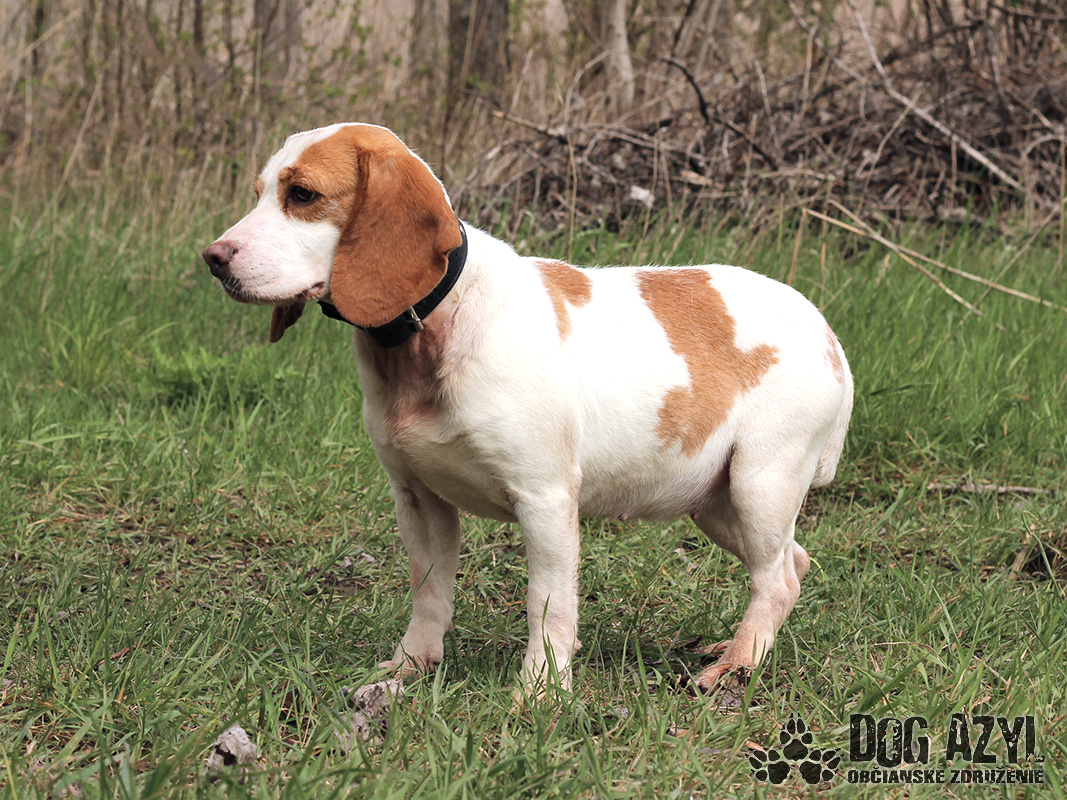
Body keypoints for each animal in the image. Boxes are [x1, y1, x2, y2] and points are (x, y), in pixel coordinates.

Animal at [203, 123, 853, 697]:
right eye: (259, 192)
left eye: (303, 195)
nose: (213, 258)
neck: (429, 335)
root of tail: (827, 332)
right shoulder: (418, 499)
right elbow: (429, 593)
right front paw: (409, 667)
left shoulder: (545, 501)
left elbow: (548, 606)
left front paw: (540, 693)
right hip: (716, 503)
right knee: (795, 564)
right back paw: (737, 648)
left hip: (760, 485)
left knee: (774, 580)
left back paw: (737, 666)